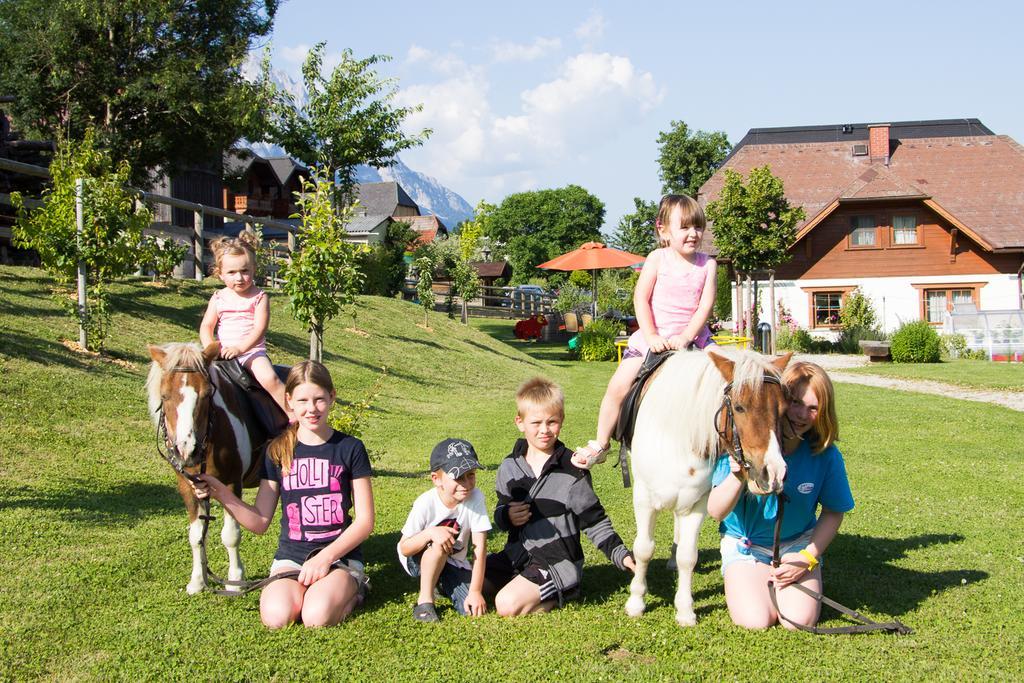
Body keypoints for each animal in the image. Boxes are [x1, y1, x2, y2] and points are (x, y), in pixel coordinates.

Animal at [146, 344, 272, 593]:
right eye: (164, 396)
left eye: (206, 395)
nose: (186, 450)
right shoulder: (189, 486)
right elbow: (196, 536)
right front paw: (198, 580)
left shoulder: (232, 484)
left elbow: (231, 535)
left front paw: (235, 582)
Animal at [622, 350, 790, 626]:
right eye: (739, 407)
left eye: (783, 410)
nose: (773, 473)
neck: (678, 437)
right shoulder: (643, 498)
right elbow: (644, 549)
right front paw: (636, 602)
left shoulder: (698, 503)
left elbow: (688, 556)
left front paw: (685, 610)